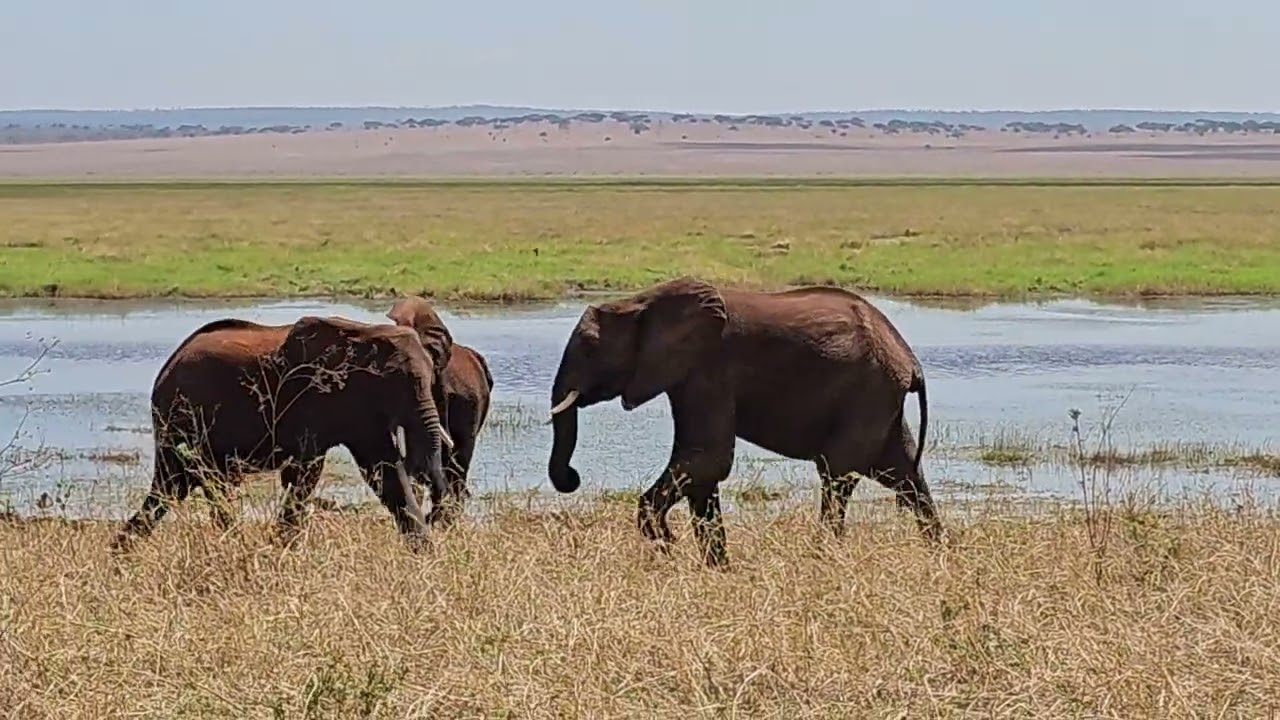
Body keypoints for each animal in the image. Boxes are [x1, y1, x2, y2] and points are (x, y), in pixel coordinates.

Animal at [110, 314, 453, 552]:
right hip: (183, 419)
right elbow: (304, 473)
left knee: (171, 488)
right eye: (397, 383)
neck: (366, 333)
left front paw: (425, 556)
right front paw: (283, 550)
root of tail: (166, 368)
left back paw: (122, 554)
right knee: (197, 484)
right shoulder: (307, 398)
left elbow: (385, 473)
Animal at [545, 276, 941, 567]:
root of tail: (911, 362)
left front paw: (667, 542)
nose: (572, 478)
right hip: (880, 399)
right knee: (903, 472)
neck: (640, 302)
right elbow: (702, 468)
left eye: (590, 347)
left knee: (838, 474)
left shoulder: (708, 367)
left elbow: (706, 458)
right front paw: (716, 569)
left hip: (868, 392)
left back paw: (821, 557)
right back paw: (938, 554)